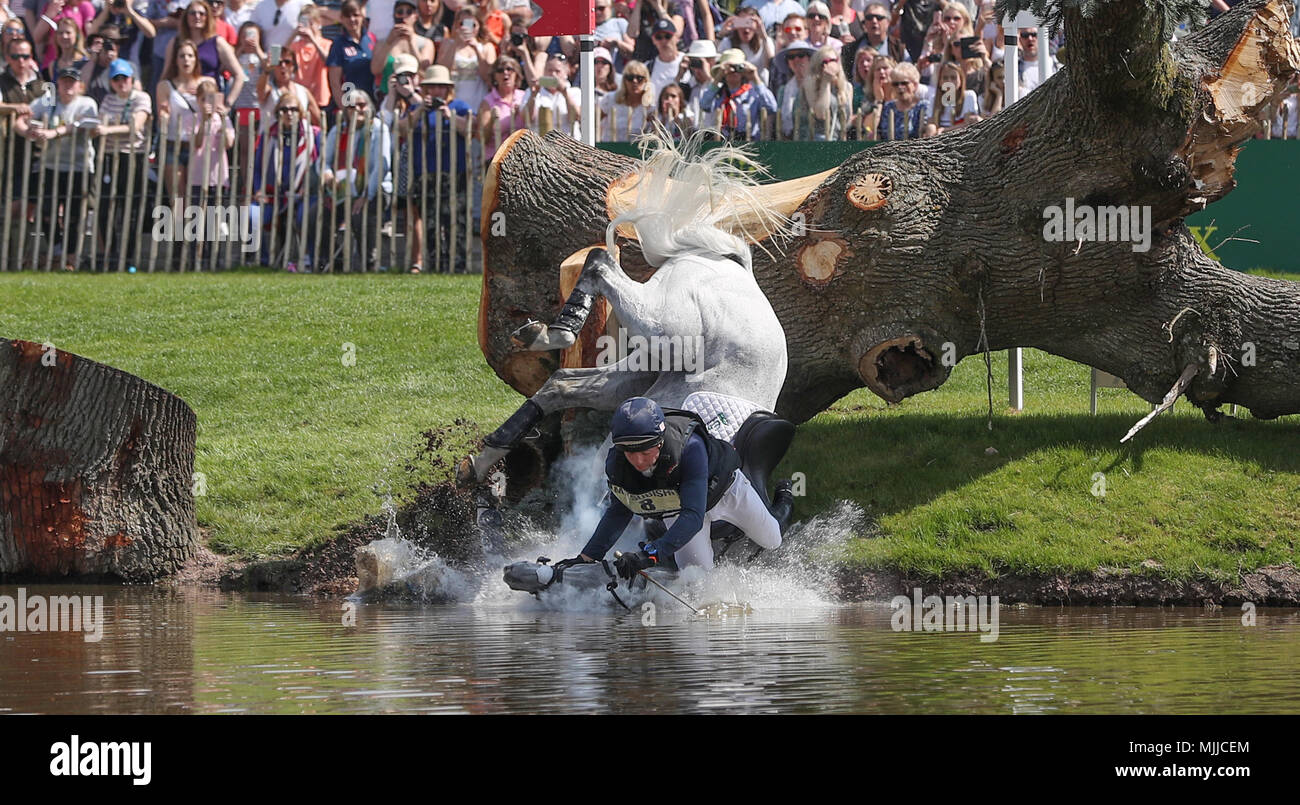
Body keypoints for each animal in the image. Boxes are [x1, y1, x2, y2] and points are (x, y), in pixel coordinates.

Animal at [467, 130, 790, 483]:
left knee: (561, 382)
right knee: (599, 261)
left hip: (644, 366)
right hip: (666, 330)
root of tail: (737, 267)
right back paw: (555, 333)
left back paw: (487, 455)